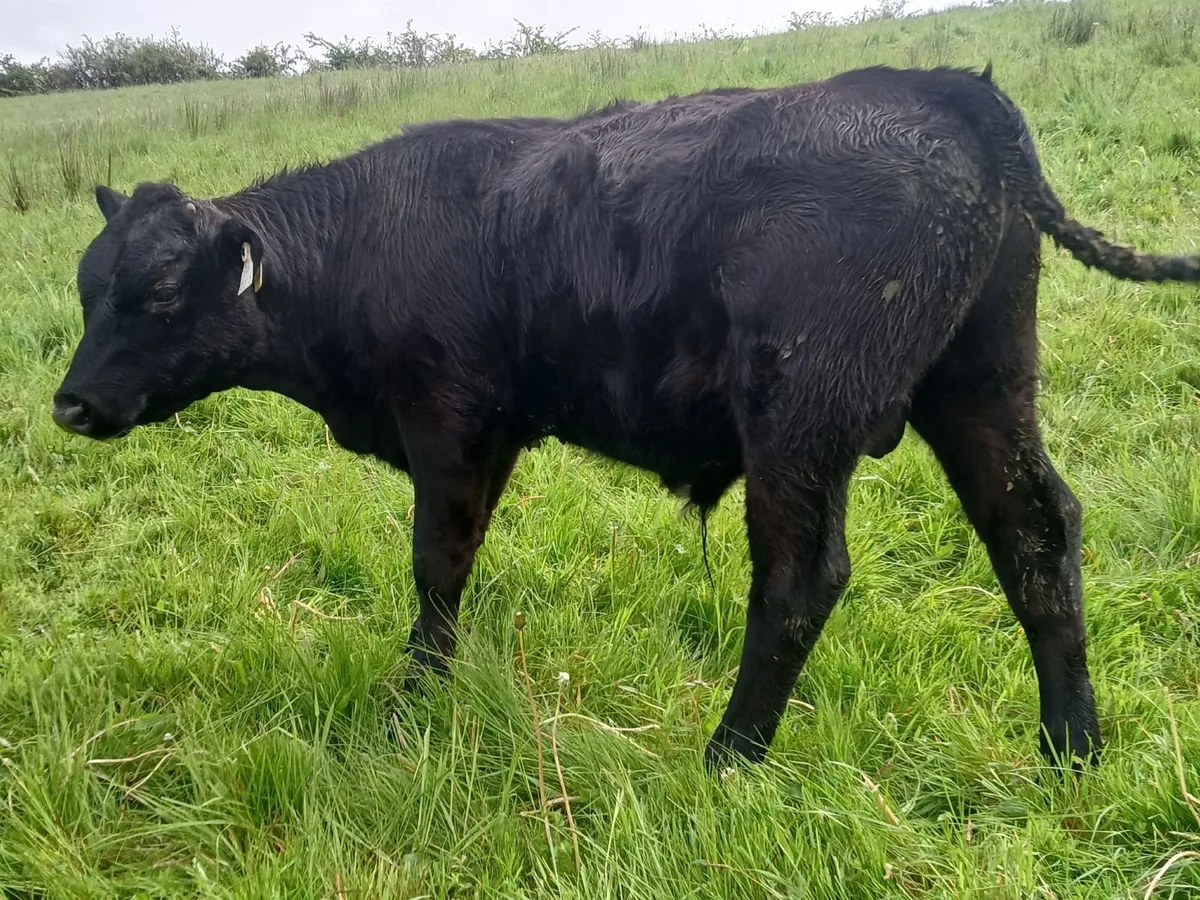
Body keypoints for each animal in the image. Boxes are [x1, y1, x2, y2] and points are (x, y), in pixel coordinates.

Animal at [51, 64, 1200, 774]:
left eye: (161, 293)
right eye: (85, 285)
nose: (70, 402)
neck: (372, 235)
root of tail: (929, 83)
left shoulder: (447, 421)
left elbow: (435, 564)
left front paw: (414, 699)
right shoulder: (493, 432)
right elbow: (458, 562)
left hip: (801, 420)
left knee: (800, 580)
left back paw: (728, 759)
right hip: (981, 386)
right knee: (1033, 532)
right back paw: (1071, 749)